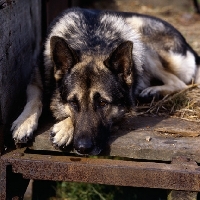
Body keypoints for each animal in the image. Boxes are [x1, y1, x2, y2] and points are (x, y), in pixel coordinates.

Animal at [11, 7, 200, 155]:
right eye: (73, 102)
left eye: (102, 103)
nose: (82, 148)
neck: (90, 41)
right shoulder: (35, 79)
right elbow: (35, 99)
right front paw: (24, 122)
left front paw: (64, 128)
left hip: (144, 44)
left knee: (179, 83)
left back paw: (153, 91)